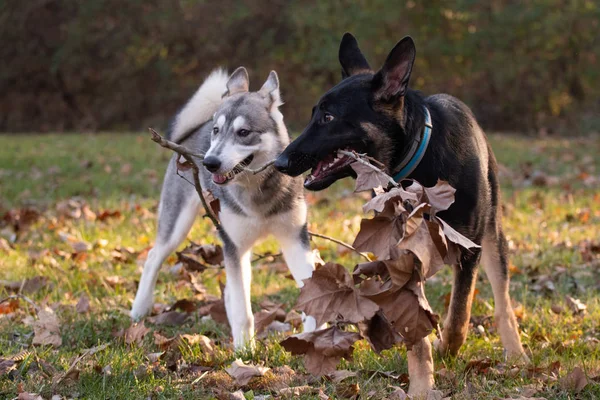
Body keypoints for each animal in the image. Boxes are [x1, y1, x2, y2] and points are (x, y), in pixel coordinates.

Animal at [274, 33, 528, 394]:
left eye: (328, 118)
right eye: (314, 115)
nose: (279, 162)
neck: (416, 165)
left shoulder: (468, 248)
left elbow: (459, 314)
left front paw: (447, 348)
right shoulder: (403, 261)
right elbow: (416, 333)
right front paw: (421, 385)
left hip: (492, 238)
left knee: (502, 298)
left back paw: (515, 352)